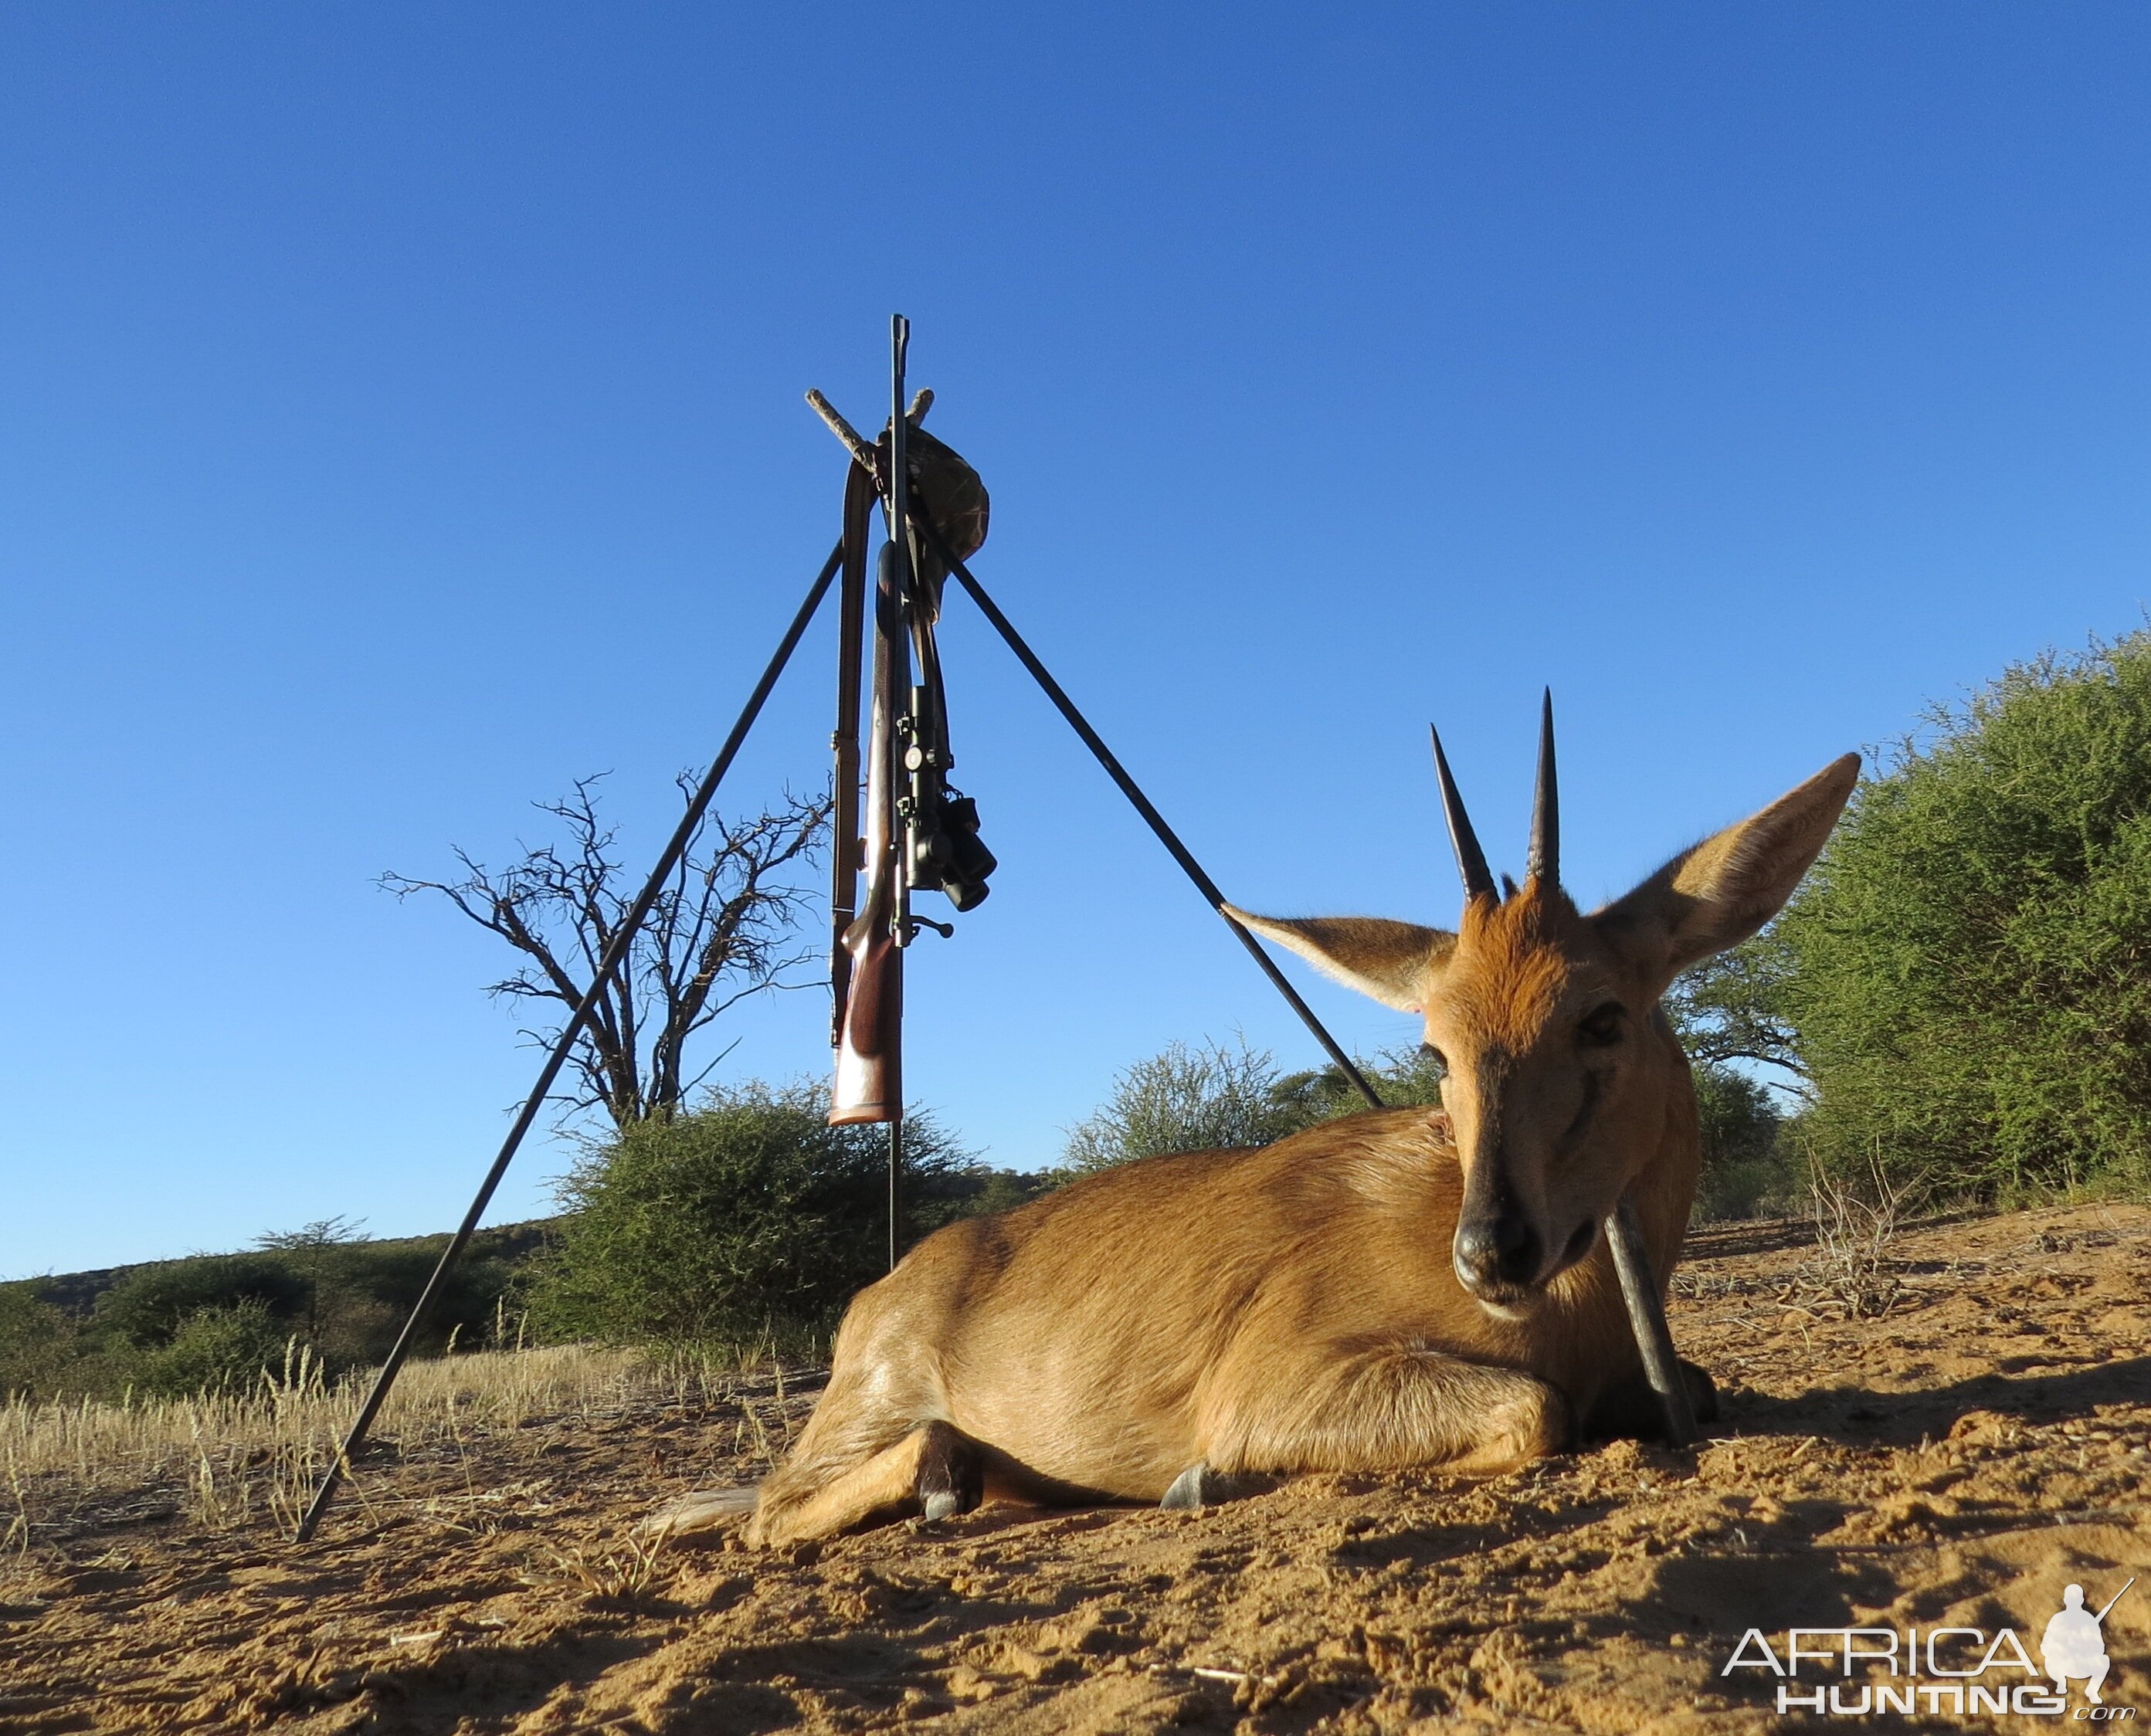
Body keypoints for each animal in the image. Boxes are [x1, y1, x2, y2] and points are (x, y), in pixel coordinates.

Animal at [670, 714, 1850, 1557]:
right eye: (1434, 1049)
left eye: (1601, 1016)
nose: (1492, 1251)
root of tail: (886, 1287)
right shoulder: (1274, 1383)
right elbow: (1535, 1412)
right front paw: (1207, 1476)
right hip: (867, 1414)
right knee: (776, 1506)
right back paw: (951, 1478)